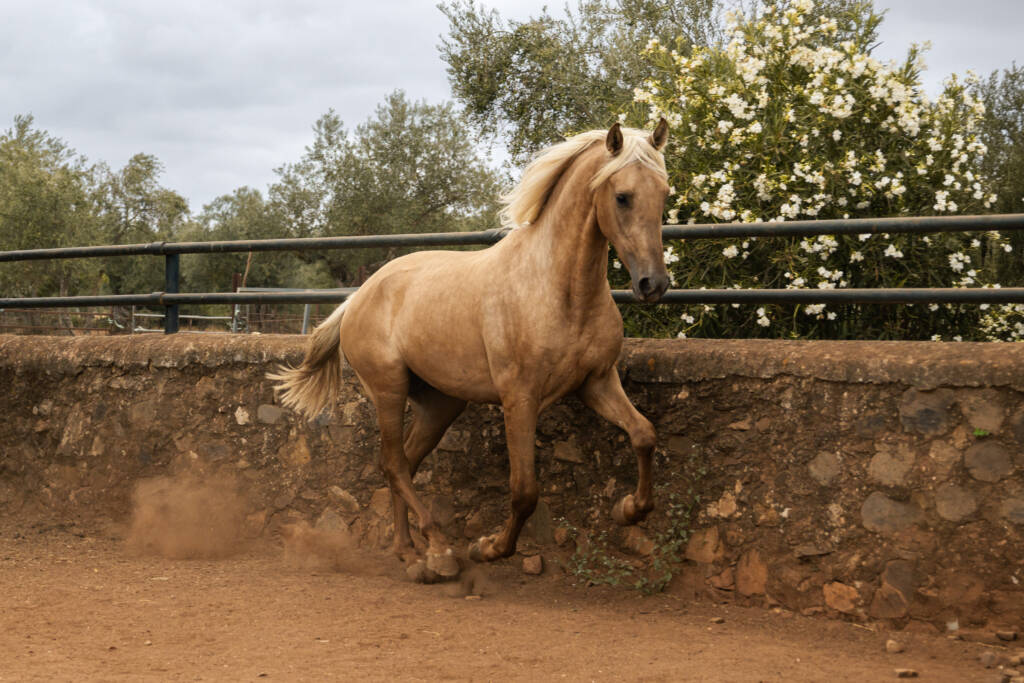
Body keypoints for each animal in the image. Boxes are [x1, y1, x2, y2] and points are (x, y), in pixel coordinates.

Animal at [271, 120, 671, 581]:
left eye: (665, 194)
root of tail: (357, 297)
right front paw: (489, 548)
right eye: (622, 196)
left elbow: (644, 434)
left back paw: (411, 553)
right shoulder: (520, 398)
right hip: (388, 391)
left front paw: (629, 509)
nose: (653, 284)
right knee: (393, 464)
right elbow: (524, 491)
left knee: (403, 463)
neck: (558, 289)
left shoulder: (597, 382)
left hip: (440, 405)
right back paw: (439, 550)